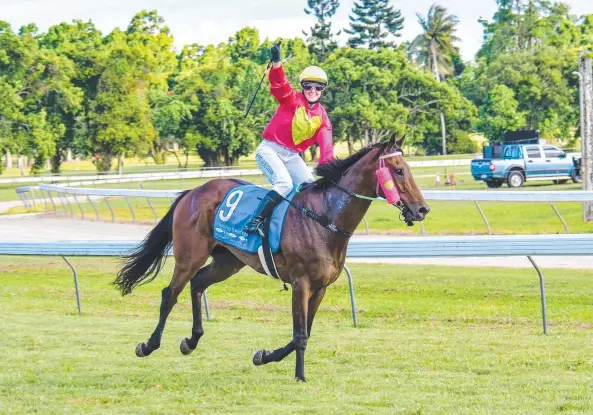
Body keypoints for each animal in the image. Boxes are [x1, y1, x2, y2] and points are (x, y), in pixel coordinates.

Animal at [114, 135, 430, 382]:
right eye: (398, 171)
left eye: (407, 169)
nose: (422, 209)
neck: (325, 218)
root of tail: (193, 191)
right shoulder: (301, 282)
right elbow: (300, 334)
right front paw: (300, 376)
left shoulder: (321, 288)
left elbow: (303, 332)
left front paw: (263, 356)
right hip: (189, 256)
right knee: (170, 294)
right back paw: (149, 345)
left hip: (227, 261)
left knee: (198, 284)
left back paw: (190, 341)